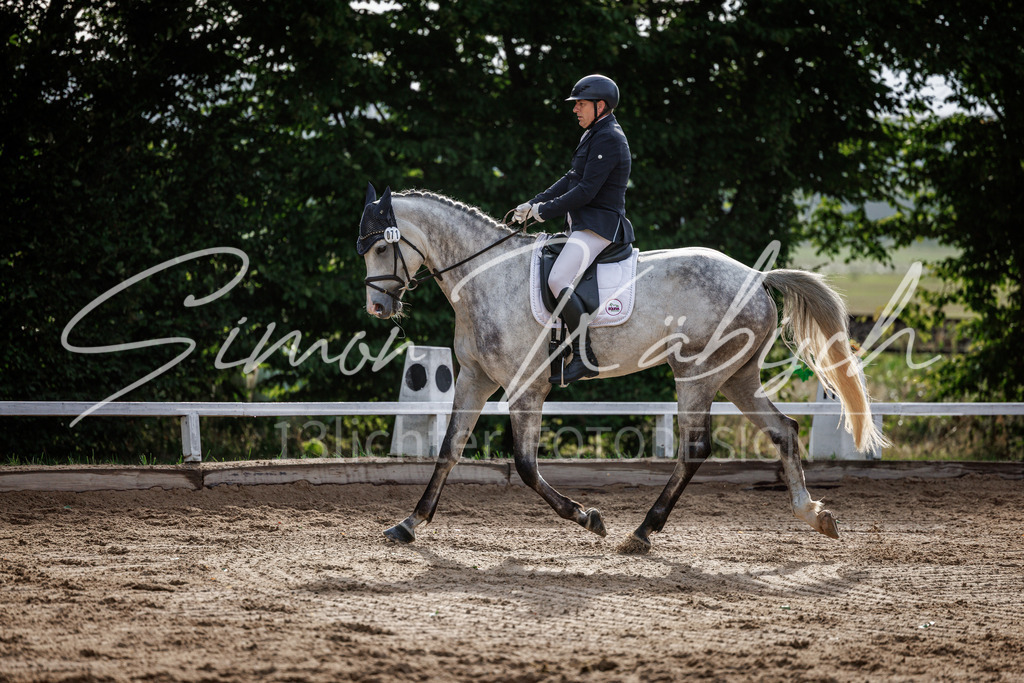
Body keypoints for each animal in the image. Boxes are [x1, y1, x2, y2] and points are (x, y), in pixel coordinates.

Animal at [357, 184, 886, 554]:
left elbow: (526, 466)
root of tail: (756, 276)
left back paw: (642, 532)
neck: (485, 276)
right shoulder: (474, 379)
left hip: (696, 375)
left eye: (381, 247)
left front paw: (587, 517)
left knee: (696, 448)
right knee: (784, 430)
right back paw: (814, 514)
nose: (377, 308)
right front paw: (409, 524)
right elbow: (449, 449)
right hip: (737, 378)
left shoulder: (527, 387)